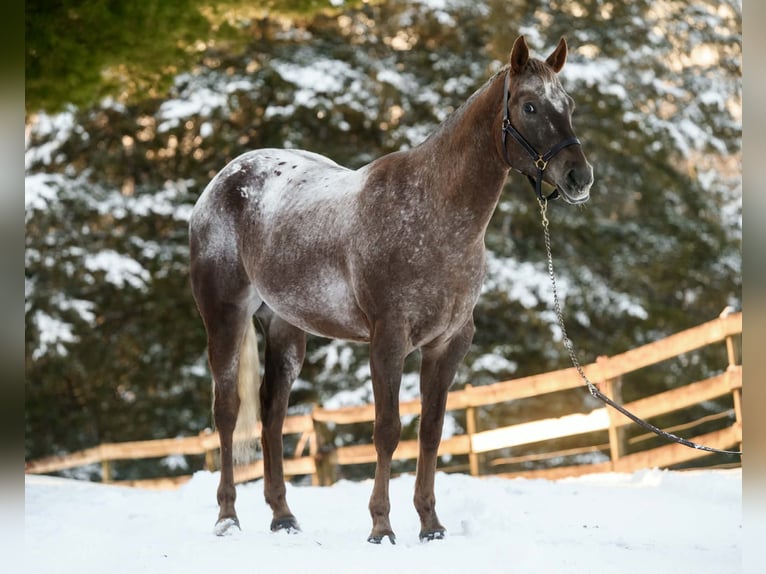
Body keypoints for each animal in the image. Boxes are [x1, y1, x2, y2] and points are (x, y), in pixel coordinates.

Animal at [189, 35, 593, 543]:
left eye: (570, 104)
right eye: (530, 106)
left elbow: (431, 431)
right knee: (227, 411)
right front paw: (381, 526)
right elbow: (386, 430)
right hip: (225, 317)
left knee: (271, 414)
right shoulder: (388, 339)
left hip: (285, 329)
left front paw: (430, 524)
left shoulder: (449, 343)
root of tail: (224, 179)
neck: (432, 211)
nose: (580, 177)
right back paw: (227, 517)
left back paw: (283, 516)